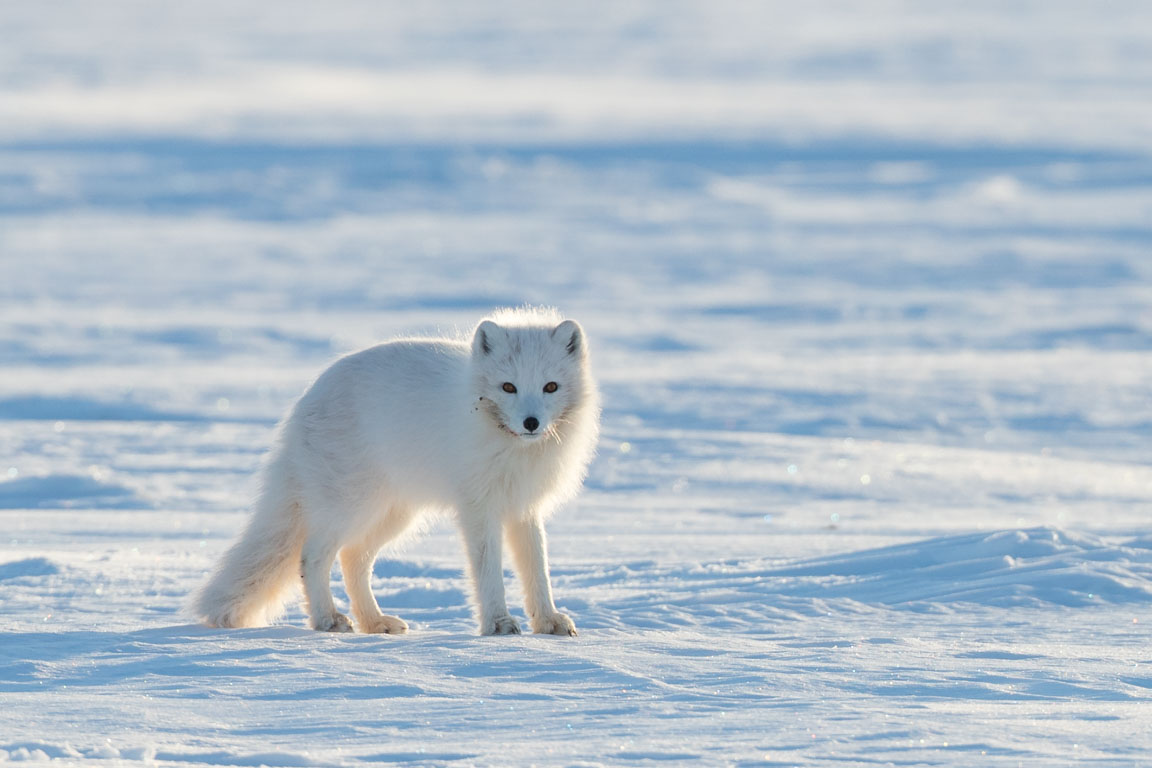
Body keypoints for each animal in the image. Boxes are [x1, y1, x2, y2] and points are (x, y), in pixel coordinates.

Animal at [186, 306, 603, 635]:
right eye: (508, 387)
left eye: (551, 386)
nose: (531, 422)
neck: (512, 446)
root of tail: (306, 399)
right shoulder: (478, 508)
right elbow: (488, 571)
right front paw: (498, 623)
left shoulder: (524, 508)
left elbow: (538, 569)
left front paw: (547, 621)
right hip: (352, 506)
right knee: (313, 556)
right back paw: (327, 619)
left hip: (394, 514)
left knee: (353, 558)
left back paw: (373, 621)